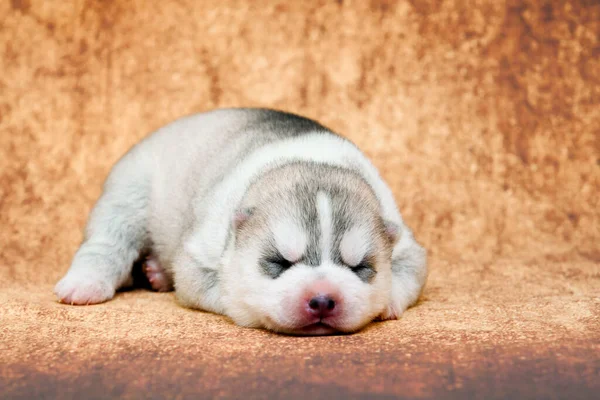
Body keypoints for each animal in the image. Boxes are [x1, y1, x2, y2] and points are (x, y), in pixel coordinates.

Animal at [55, 108, 426, 334]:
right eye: (279, 262)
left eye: (360, 267)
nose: (322, 299)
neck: (312, 162)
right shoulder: (198, 256)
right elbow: (215, 286)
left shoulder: (408, 245)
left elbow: (410, 272)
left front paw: (386, 301)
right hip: (129, 193)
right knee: (107, 242)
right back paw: (85, 283)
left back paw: (157, 273)